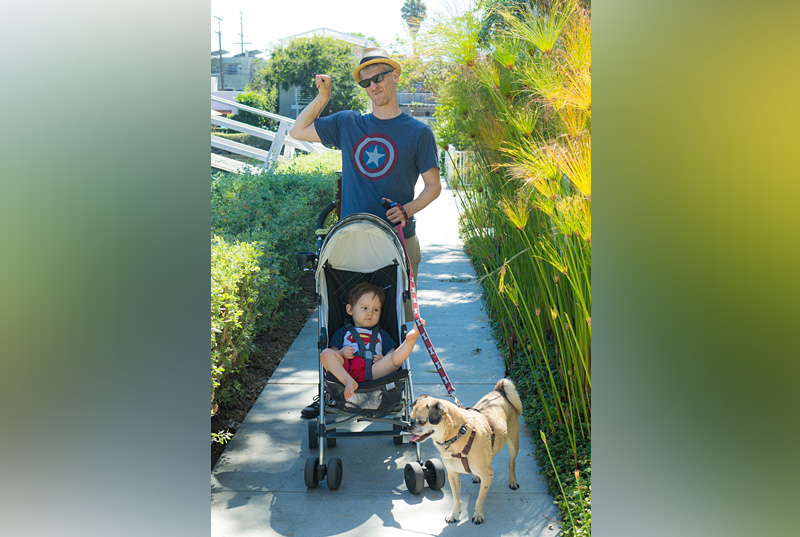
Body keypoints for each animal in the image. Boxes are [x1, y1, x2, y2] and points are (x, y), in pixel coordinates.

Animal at [410, 376, 520, 524]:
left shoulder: (488, 474)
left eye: (421, 422)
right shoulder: (453, 474)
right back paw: (477, 477)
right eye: (410, 418)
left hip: (513, 444)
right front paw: (455, 514)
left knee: (511, 462)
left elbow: (480, 499)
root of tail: (499, 391)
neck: (458, 435)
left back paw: (512, 481)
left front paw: (478, 514)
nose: (409, 425)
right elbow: (456, 498)